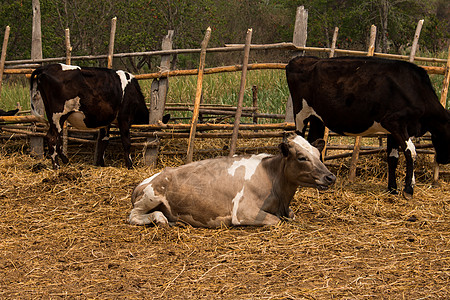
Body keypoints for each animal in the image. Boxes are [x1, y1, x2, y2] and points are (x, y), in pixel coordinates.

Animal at [128, 135, 336, 229]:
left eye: (318, 154)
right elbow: (276, 221)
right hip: (150, 196)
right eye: (301, 157)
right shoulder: (243, 212)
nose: (330, 177)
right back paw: (159, 218)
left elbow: (290, 216)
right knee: (133, 216)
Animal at [286, 55, 448, 199]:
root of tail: (302, 59)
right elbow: (411, 152)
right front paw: (408, 190)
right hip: (301, 113)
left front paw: (393, 189)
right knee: (300, 138)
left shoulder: (392, 130)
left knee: (313, 141)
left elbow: (393, 157)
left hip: (317, 118)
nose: (444, 160)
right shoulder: (394, 122)